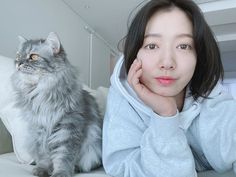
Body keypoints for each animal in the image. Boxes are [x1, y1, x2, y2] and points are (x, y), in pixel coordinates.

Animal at [11, 32, 102, 177]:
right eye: (18, 56)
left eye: (33, 56)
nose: (18, 63)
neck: (41, 95)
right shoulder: (39, 129)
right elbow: (43, 155)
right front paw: (42, 170)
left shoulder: (68, 127)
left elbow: (63, 156)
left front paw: (61, 173)